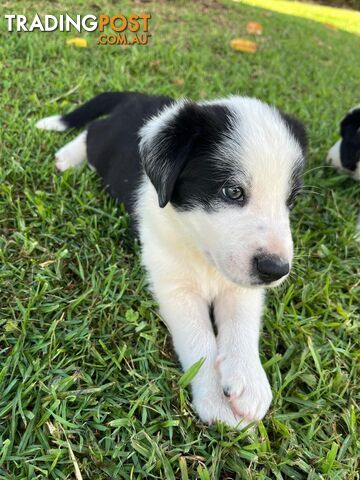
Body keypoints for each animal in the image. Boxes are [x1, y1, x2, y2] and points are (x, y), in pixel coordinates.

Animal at [35, 91, 306, 428]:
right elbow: (198, 339)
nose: (276, 270)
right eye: (232, 191)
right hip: (105, 146)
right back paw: (68, 156)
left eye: (290, 201)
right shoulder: (176, 288)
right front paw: (215, 399)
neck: (202, 253)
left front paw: (249, 381)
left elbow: (242, 323)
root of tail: (138, 96)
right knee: (92, 131)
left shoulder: (240, 284)